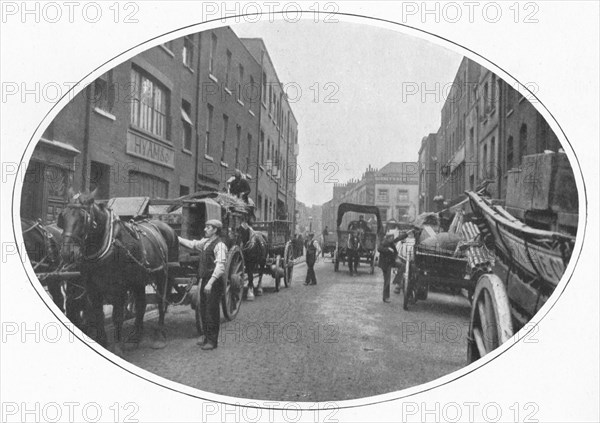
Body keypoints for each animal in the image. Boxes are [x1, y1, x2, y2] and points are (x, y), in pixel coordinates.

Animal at [58, 190, 178, 354]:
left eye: (83, 218)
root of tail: (165, 227)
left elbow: (117, 316)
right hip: (138, 280)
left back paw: (159, 335)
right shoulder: (93, 289)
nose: (66, 253)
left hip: (163, 275)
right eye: (63, 216)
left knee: (161, 301)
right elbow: (98, 314)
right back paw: (136, 336)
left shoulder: (119, 288)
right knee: (141, 304)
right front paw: (102, 341)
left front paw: (117, 347)